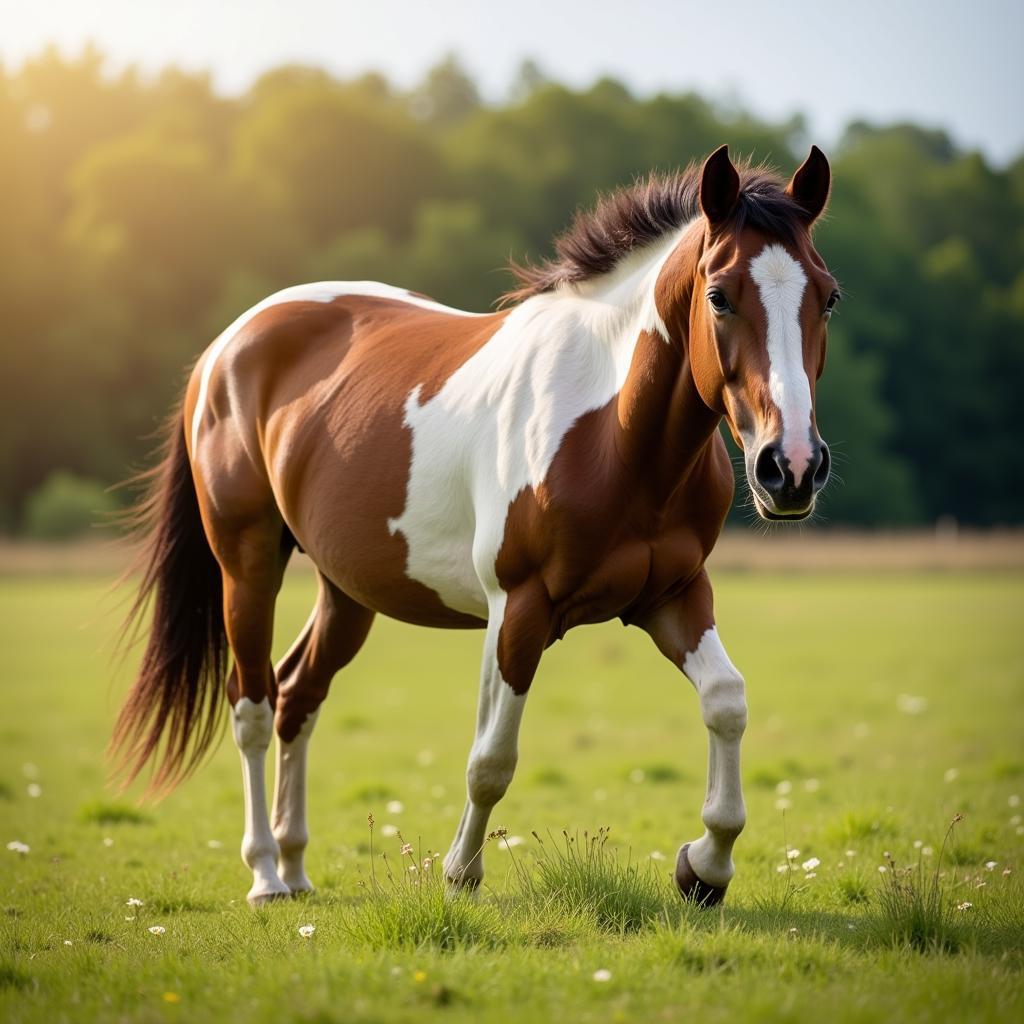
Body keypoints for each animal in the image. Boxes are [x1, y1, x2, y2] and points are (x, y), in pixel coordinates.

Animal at [112, 142, 835, 905]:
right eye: (719, 295)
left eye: (828, 296)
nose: (790, 467)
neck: (612, 433)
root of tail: (227, 347)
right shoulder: (518, 608)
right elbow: (492, 757)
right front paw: (460, 873)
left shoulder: (673, 596)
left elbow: (727, 701)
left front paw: (705, 864)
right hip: (247, 564)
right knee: (250, 702)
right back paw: (265, 875)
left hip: (346, 590)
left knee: (296, 695)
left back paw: (297, 864)